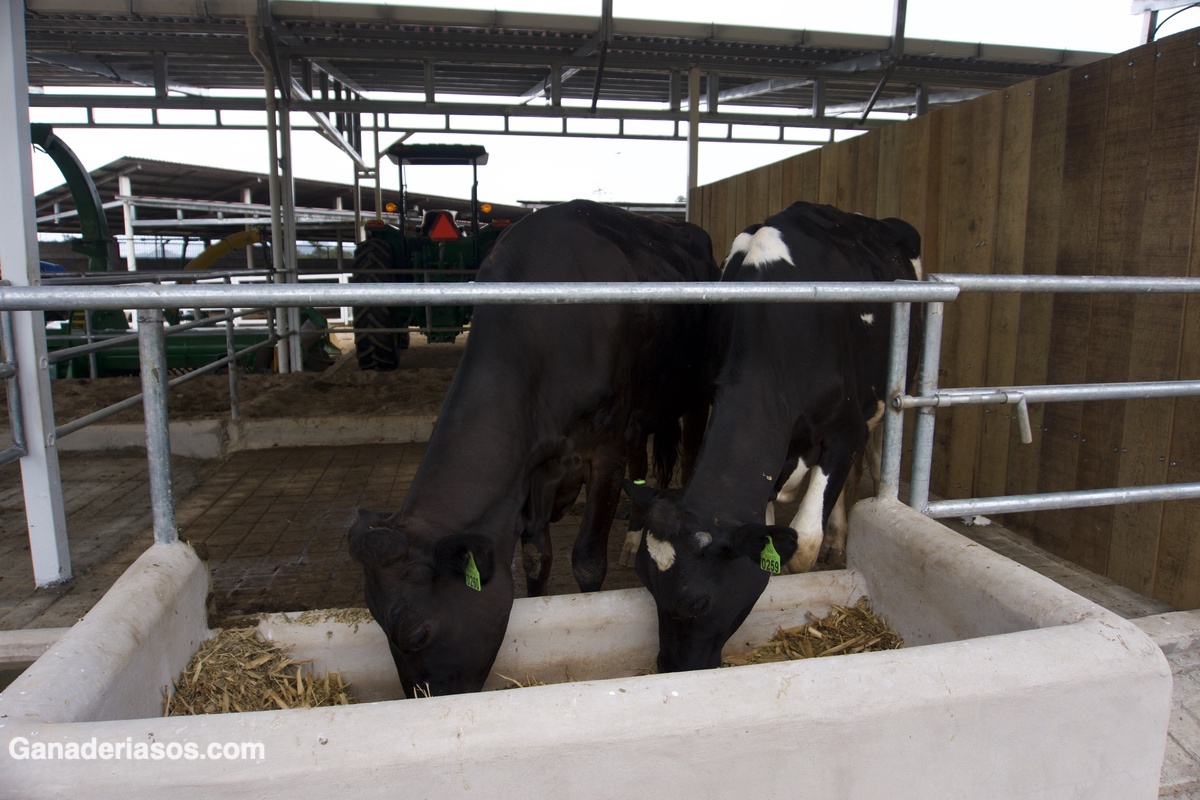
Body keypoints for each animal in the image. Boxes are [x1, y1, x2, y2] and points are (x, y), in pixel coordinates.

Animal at [350, 201, 715, 700]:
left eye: (417, 635)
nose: (420, 700)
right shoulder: (534, 471)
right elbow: (535, 559)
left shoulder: (604, 451)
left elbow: (586, 562)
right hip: (641, 414)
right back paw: (634, 537)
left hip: (695, 390)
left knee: (694, 449)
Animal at [628, 201, 916, 676]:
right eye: (648, 588)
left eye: (697, 603)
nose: (670, 666)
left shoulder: (845, 429)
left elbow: (803, 543)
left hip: (887, 397)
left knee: (871, 461)